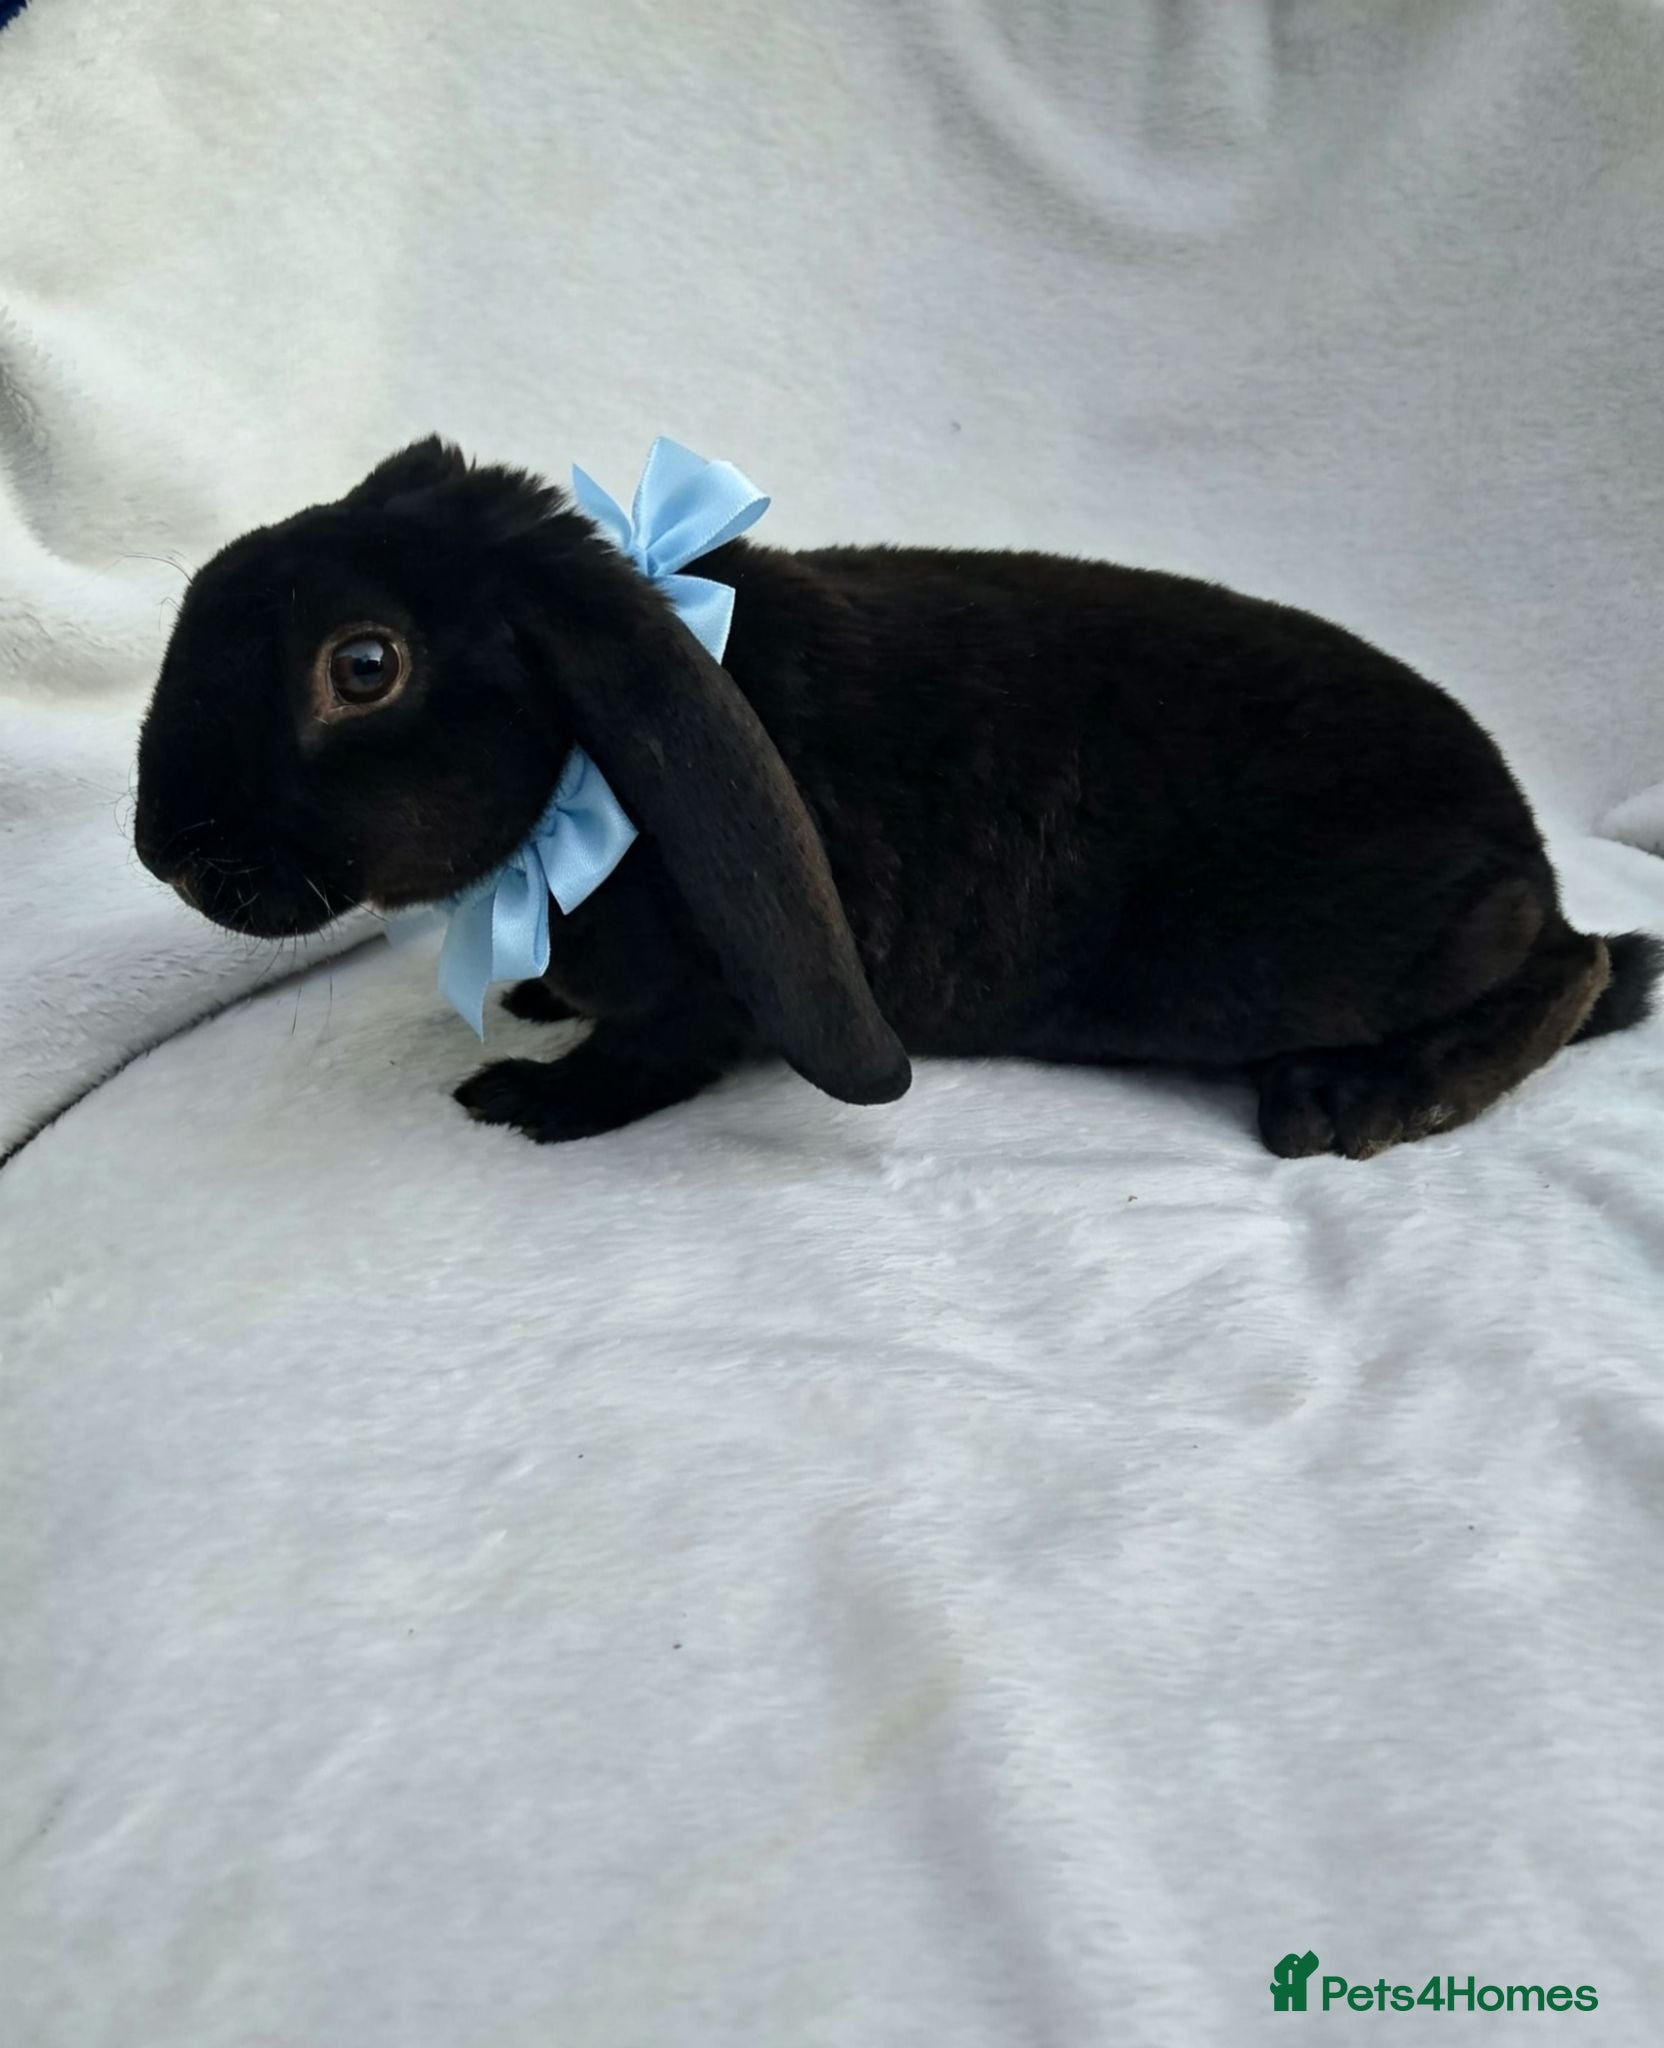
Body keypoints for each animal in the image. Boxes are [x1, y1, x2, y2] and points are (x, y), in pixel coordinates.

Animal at [135, 436, 1659, 1156]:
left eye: (364, 666)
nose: (163, 855)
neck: (582, 777)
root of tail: (1523, 842)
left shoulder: (710, 995)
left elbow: (654, 1055)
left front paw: (524, 1098)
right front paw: (533, 995)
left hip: (1340, 951)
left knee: (1568, 970)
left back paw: (1359, 1102)